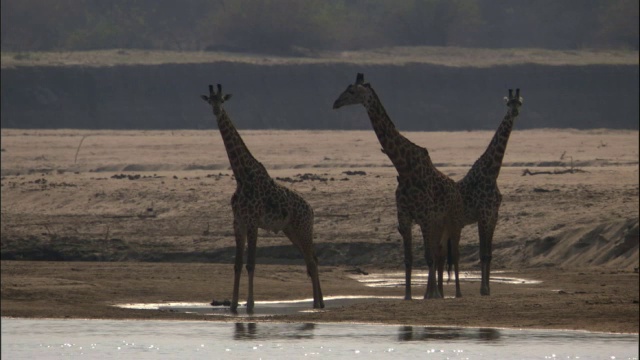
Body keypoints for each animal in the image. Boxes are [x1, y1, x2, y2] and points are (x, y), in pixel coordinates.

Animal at [199, 83, 322, 312]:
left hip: (303, 228)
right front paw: (233, 305)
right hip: (290, 230)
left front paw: (250, 305)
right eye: (210, 100)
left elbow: (251, 263)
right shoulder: (238, 221)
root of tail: (311, 209)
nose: (216, 111)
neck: (242, 176)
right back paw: (318, 302)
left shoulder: (253, 221)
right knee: (310, 260)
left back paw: (318, 303)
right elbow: (237, 264)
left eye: (223, 100)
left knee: (312, 260)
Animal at [332, 72, 462, 298]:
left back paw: (454, 293)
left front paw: (429, 296)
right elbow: (409, 259)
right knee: (439, 254)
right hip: (439, 224)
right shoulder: (405, 217)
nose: (335, 103)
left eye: (352, 91)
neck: (404, 168)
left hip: (451, 221)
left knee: (451, 254)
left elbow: (427, 257)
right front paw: (409, 295)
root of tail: (456, 190)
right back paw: (437, 292)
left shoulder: (425, 216)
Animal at [458, 88, 524, 296]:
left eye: (519, 103)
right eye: (508, 103)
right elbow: (482, 254)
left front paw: (488, 288)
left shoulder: (494, 215)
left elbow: (489, 253)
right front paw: (483, 288)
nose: (514, 113)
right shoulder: (483, 215)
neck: (492, 173)